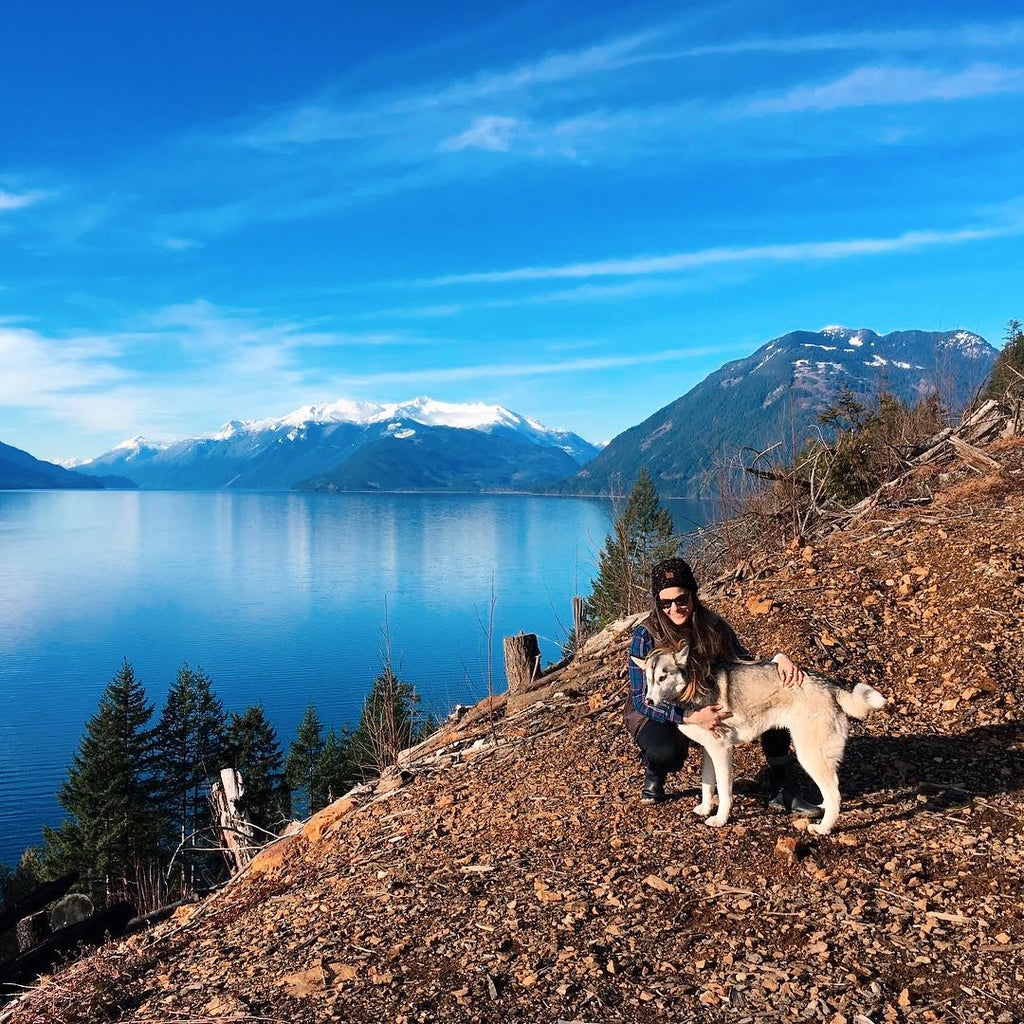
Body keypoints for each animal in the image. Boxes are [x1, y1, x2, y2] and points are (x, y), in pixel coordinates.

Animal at [626, 651, 884, 835]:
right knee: (830, 792)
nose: (648, 701)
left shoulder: (722, 751)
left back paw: (823, 828)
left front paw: (720, 819)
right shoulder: (709, 752)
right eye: (648, 679)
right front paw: (705, 808)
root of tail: (832, 686)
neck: (690, 690)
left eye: (663, 677)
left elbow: (724, 791)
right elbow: (707, 785)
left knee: (835, 794)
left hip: (808, 754)